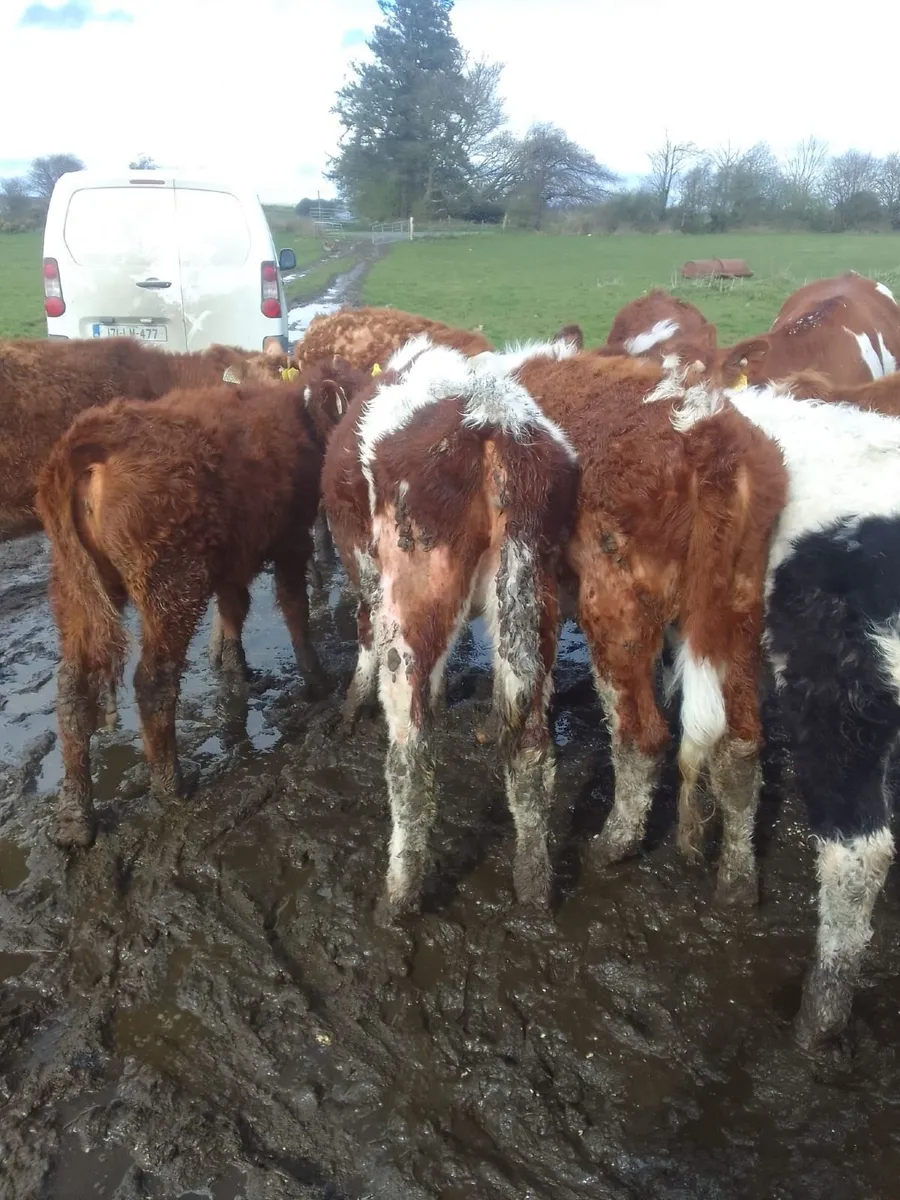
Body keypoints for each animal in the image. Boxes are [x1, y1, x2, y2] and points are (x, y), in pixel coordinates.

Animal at [34, 362, 360, 850]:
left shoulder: (234, 558)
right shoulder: (290, 540)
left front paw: (235, 668)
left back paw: (76, 817)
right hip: (171, 584)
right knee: (153, 682)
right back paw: (172, 786)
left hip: (74, 588)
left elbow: (234, 609)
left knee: (72, 689)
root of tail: (95, 433)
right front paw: (317, 682)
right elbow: (295, 610)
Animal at [321, 338, 580, 920]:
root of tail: (498, 419)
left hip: (411, 603)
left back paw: (397, 898)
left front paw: (348, 711)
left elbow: (363, 638)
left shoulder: (368, 578)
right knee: (531, 750)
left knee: (411, 758)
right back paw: (533, 888)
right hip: (533, 597)